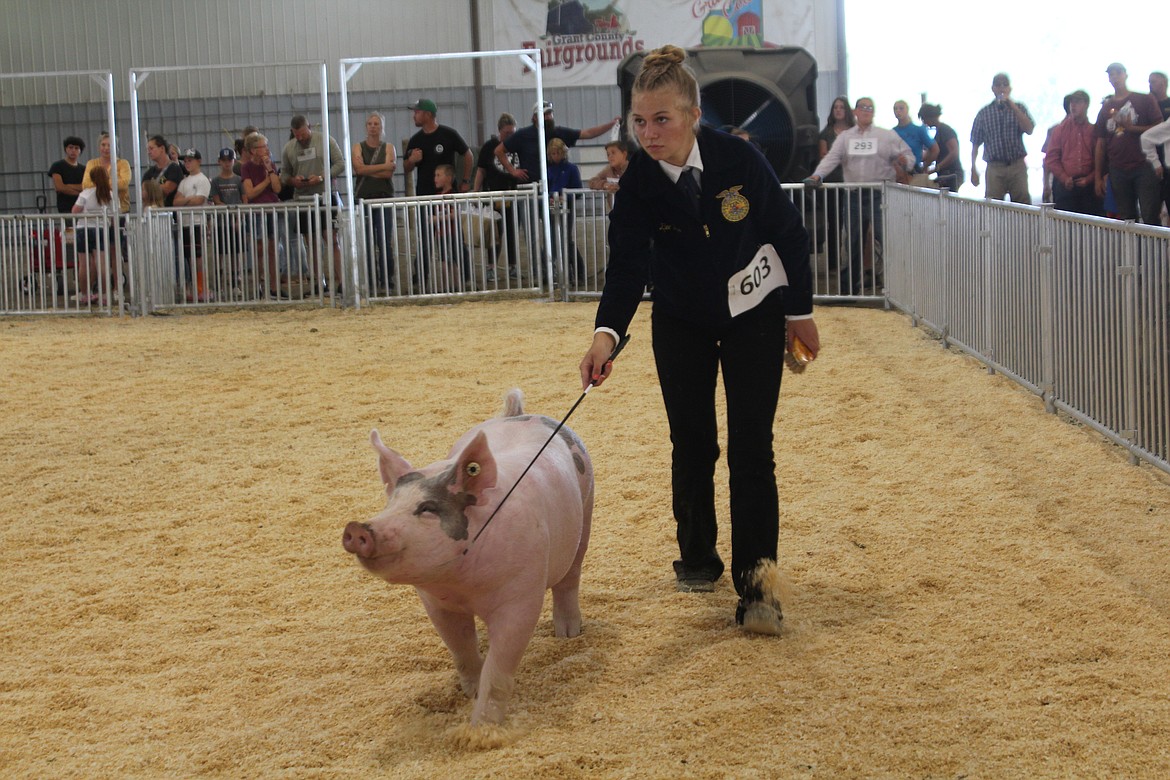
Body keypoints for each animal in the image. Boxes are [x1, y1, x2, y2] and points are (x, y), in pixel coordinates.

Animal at [341, 388, 594, 725]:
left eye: (427, 508)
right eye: (390, 504)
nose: (358, 528)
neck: (463, 585)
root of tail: (516, 414)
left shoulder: (522, 596)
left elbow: (500, 666)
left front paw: (481, 728)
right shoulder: (436, 603)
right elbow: (460, 647)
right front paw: (470, 692)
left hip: (587, 507)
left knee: (570, 576)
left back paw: (567, 635)